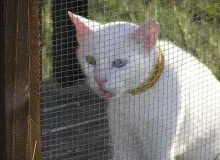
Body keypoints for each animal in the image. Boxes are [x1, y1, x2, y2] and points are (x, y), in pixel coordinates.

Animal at [68, 10, 220, 159]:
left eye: (119, 63)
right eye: (90, 60)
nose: (99, 80)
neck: (136, 101)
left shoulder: (161, 146)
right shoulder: (122, 142)